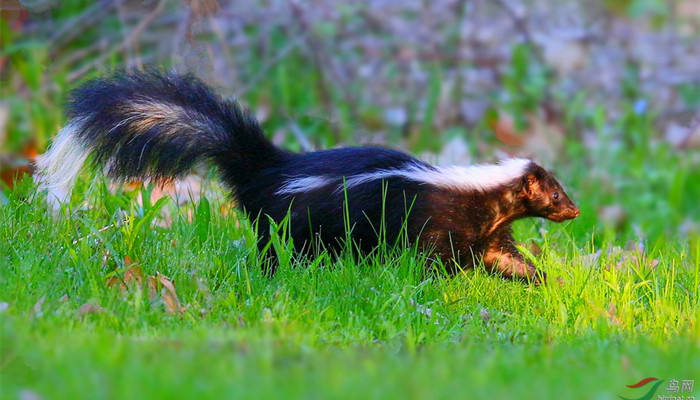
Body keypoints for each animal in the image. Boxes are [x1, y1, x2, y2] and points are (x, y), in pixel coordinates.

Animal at [37, 71, 580, 284]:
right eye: (555, 194)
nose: (575, 210)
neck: (477, 191)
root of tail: (267, 168)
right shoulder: (437, 217)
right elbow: (432, 259)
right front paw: (440, 284)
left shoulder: (487, 228)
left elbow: (502, 257)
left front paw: (541, 279)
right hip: (290, 221)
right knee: (279, 251)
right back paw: (277, 275)